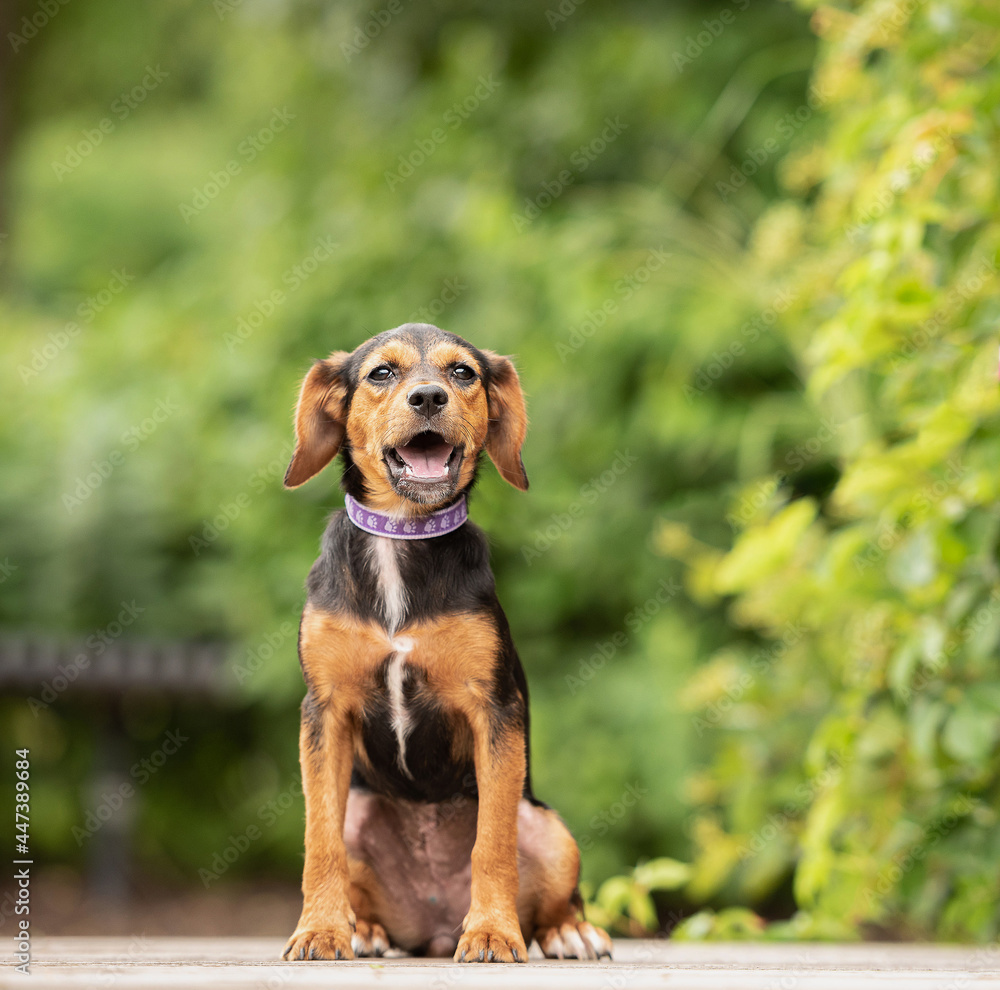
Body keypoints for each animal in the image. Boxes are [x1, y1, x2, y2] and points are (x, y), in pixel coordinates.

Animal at [278, 322, 612, 964]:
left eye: (463, 373)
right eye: (382, 373)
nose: (430, 397)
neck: (403, 537)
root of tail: (430, 924)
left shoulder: (495, 710)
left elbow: (493, 844)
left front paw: (492, 933)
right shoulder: (323, 710)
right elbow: (318, 841)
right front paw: (321, 932)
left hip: (549, 828)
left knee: (553, 892)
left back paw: (567, 931)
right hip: (361, 807)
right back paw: (365, 930)